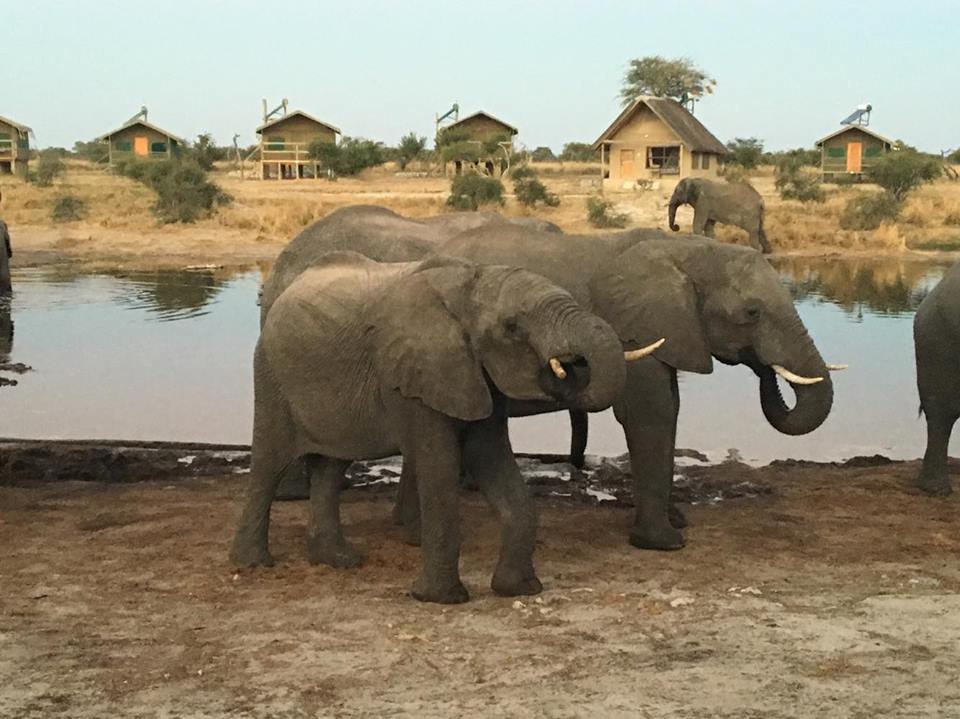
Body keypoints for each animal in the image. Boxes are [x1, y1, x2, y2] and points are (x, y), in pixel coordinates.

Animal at [230, 251, 657, 603]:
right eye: (512, 326)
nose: (569, 364)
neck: (472, 285)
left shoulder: (475, 374)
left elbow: (493, 461)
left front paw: (518, 589)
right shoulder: (414, 373)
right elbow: (438, 465)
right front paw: (440, 599)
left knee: (330, 466)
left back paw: (338, 561)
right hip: (271, 373)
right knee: (269, 462)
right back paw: (250, 564)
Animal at [261, 206, 841, 552]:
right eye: (750, 314)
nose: (765, 370)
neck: (686, 252)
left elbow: (668, 407)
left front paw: (676, 523)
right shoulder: (638, 325)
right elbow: (652, 412)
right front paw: (664, 542)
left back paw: (411, 531)